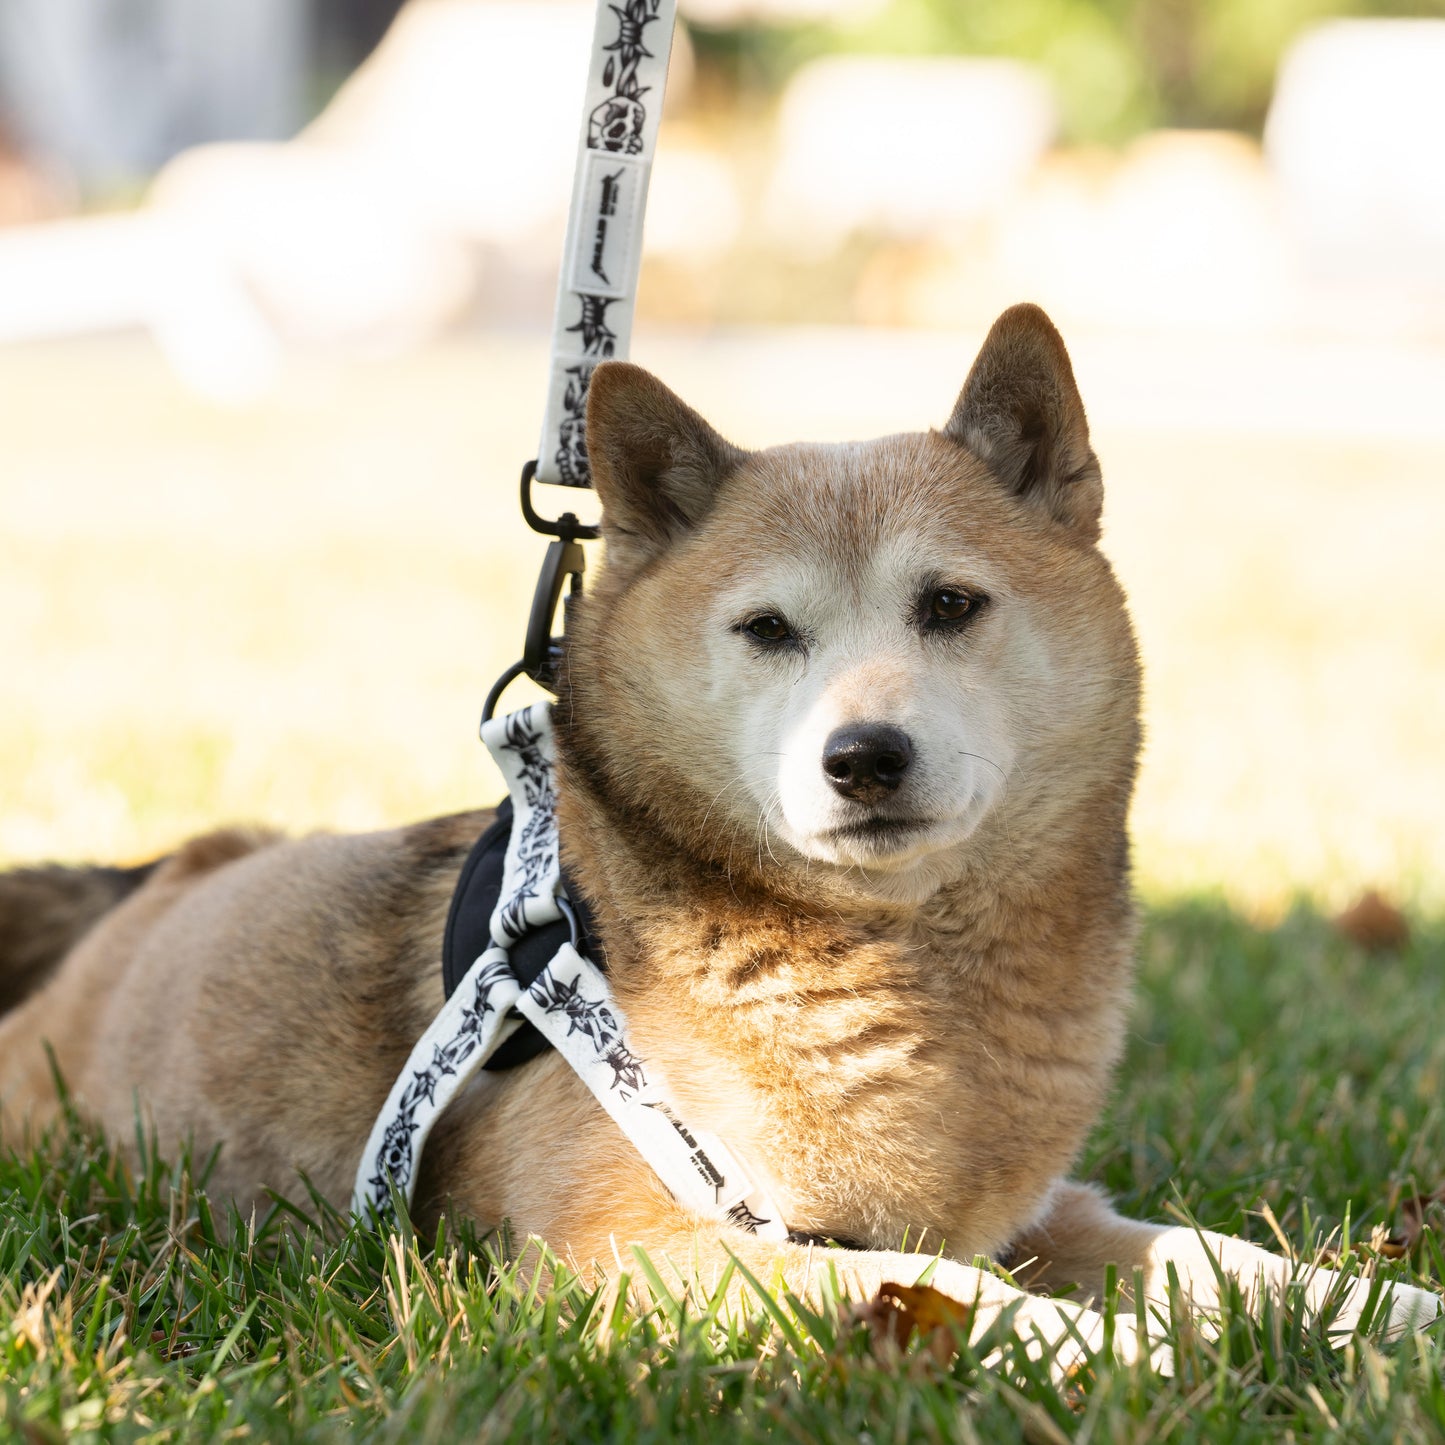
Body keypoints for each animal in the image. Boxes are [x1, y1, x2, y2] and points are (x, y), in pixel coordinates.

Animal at [0, 304, 1433, 1364]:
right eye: (765, 629)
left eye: (950, 603)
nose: (863, 756)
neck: (907, 982)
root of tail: (175, 870)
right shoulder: (640, 1248)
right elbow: (954, 1296)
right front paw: (1127, 1353)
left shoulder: (1040, 1212)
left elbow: (1216, 1256)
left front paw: (1378, 1314)